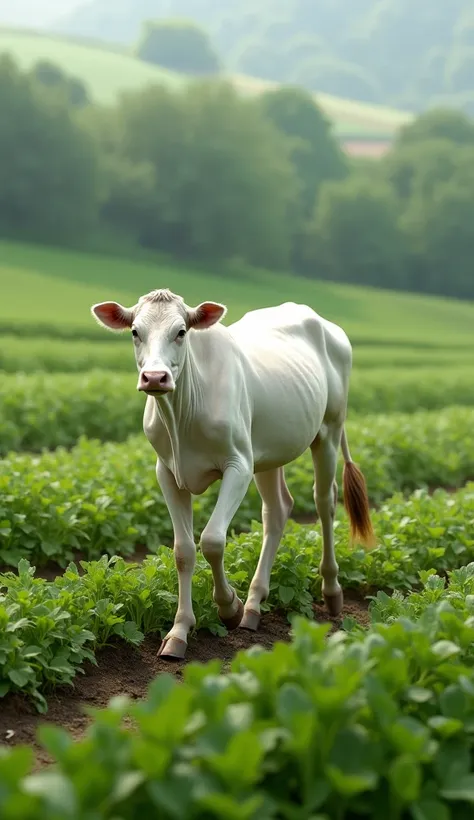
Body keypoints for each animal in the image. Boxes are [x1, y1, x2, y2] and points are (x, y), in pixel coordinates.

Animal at [91, 290, 374, 660]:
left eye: (181, 332)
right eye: (135, 332)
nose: (155, 377)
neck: (182, 416)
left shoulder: (238, 464)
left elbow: (212, 540)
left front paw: (229, 607)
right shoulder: (167, 472)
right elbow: (183, 550)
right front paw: (179, 631)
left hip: (328, 430)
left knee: (324, 501)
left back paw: (330, 590)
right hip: (269, 453)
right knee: (277, 510)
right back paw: (255, 603)